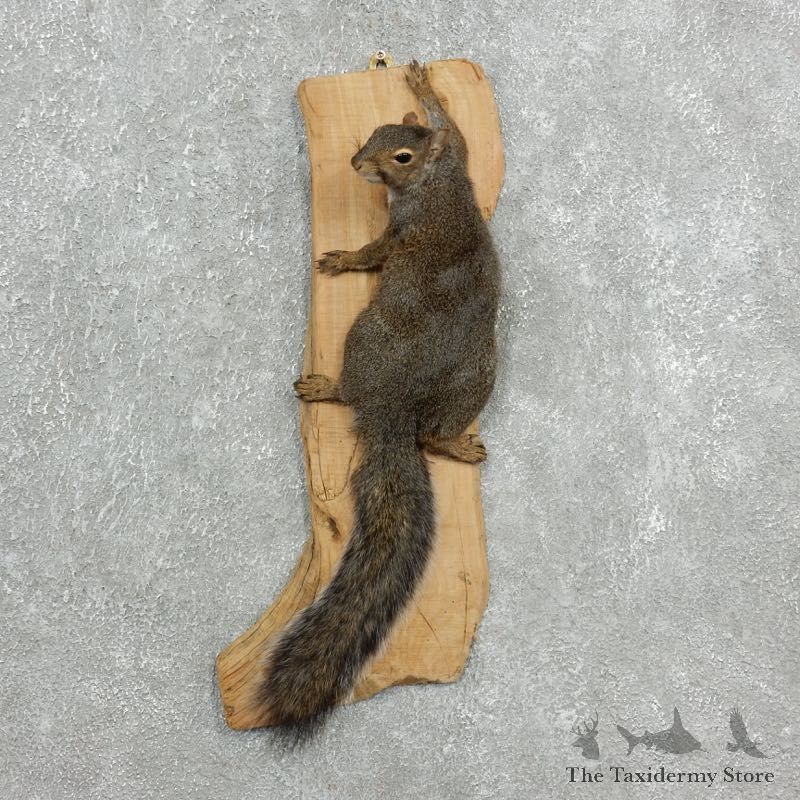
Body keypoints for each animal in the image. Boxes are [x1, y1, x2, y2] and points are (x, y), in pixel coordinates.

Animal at [253, 60, 500, 740]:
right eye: (379, 130)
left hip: (362, 341)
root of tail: (395, 413)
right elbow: (453, 121)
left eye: (401, 155)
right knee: (433, 436)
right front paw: (419, 79)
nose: (356, 162)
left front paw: (343, 259)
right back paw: (456, 445)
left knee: (356, 397)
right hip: (478, 377)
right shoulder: (461, 152)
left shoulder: (402, 234)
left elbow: (374, 253)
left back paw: (326, 387)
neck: (439, 183)